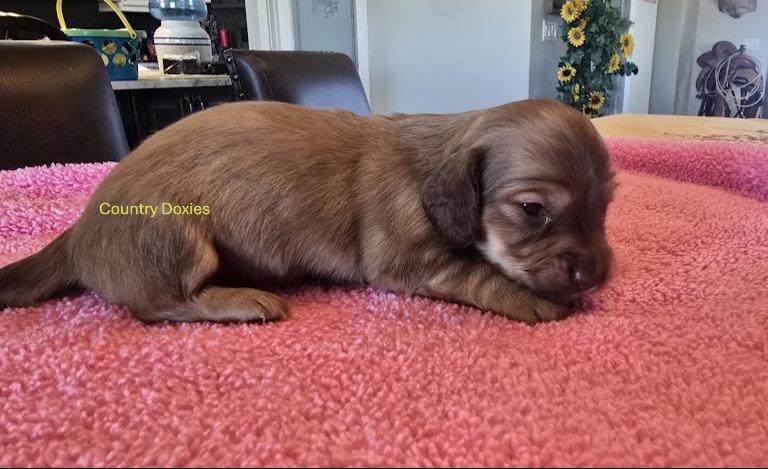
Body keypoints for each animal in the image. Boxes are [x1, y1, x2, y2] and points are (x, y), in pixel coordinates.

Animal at [0, 99, 614, 325]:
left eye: (606, 205)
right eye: (532, 209)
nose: (596, 275)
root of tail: (75, 233)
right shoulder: (409, 261)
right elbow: (480, 273)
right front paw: (538, 301)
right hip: (174, 236)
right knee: (160, 305)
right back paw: (244, 300)